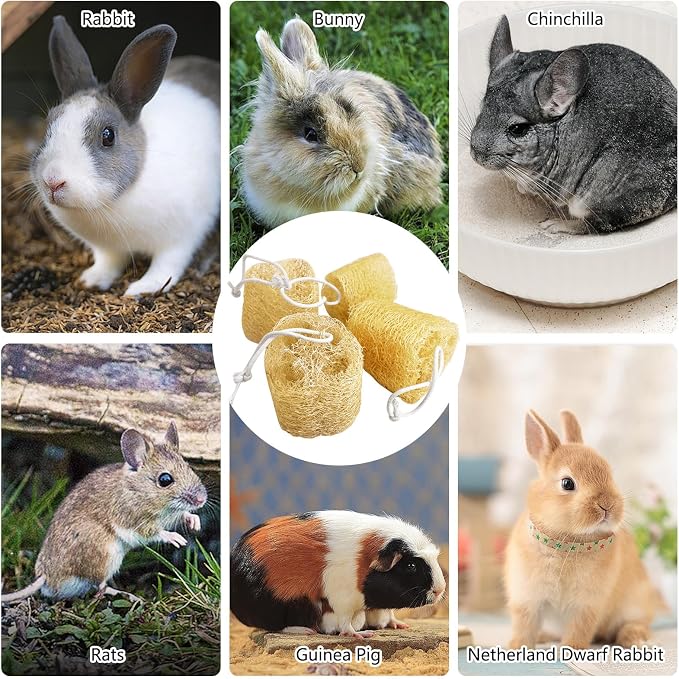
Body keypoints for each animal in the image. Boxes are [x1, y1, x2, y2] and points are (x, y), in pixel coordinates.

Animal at [1, 422, 207, 603]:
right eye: (165, 480)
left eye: (189, 467)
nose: (201, 500)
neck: (136, 488)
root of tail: (46, 576)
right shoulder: (134, 520)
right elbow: (155, 532)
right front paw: (176, 538)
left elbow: (183, 515)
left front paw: (195, 521)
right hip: (105, 555)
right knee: (99, 587)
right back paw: (130, 596)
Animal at [31, 16, 220, 296]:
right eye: (49, 126)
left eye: (108, 136)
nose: (53, 181)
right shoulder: (107, 249)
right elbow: (108, 262)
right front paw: (90, 280)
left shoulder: (182, 236)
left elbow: (167, 266)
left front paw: (142, 289)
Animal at [230, 510, 446, 637]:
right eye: (410, 565)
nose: (440, 590)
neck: (361, 562)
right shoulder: (343, 599)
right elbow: (345, 622)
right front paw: (360, 635)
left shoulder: (375, 605)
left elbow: (387, 613)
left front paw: (399, 625)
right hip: (285, 606)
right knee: (276, 625)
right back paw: (306, 631)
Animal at [470, 15, 676, 234]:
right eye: (482, 109)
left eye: (518, 129)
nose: (476, 155)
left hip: (597, 194)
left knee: (593, 224)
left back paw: (554, 224)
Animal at [505, 409, 659, 649]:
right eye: (567, 483)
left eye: (609, 473)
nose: (607, 504)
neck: (568, 542)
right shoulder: (527, 599)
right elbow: (524, 627)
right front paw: (516, 648)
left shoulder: (586, 606)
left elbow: (579, 630)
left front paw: (571, 650)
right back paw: (544, 636)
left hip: (634, 605)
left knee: (636, 624)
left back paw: (635, 639)